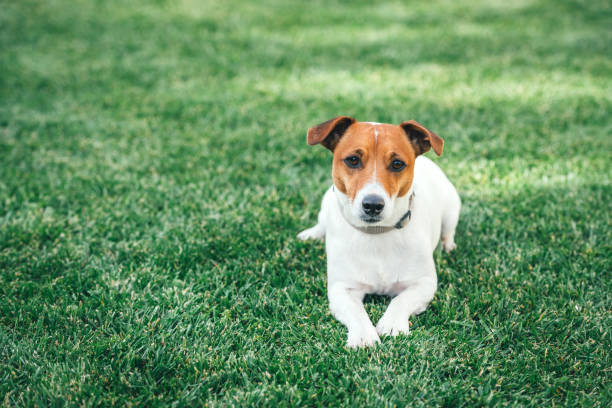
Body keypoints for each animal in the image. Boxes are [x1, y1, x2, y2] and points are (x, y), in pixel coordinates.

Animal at [296, 117, 460, 348]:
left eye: (397, 163)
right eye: (353, 160)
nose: (373, 205)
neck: (376, 234)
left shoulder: (424, 283)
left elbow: (401, 300)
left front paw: (392, 324)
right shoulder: (341, 289)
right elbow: (356, 311)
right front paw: (363, 335)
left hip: (452, 208)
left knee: (448, 231)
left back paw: (448, 247)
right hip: (326, 202)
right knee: (322, 222)